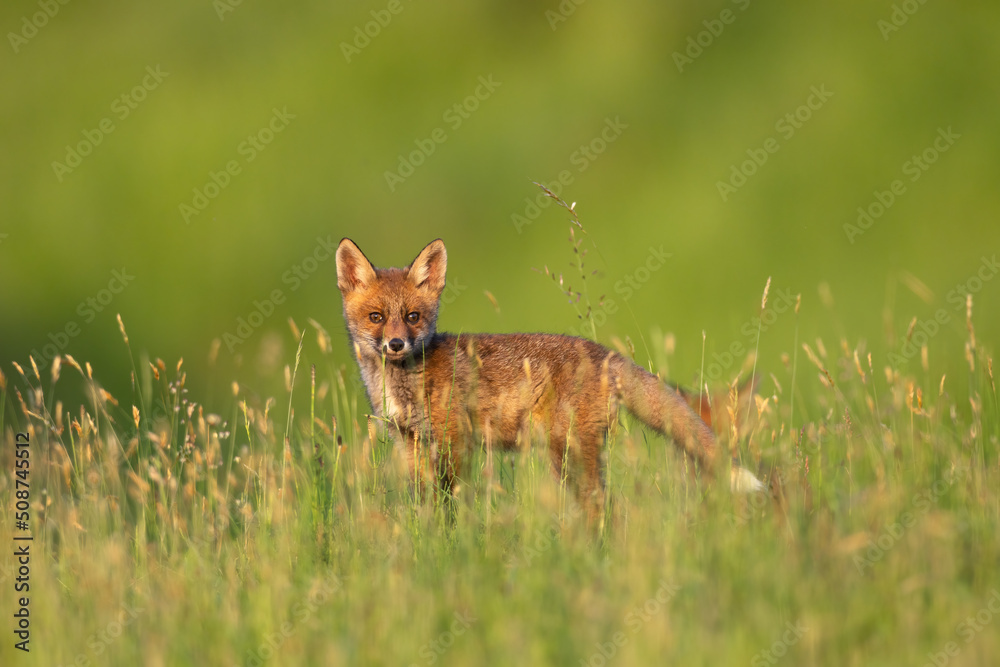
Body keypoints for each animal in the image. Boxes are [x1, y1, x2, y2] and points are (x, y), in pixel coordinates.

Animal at [332, 237, 760, 524]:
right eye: (376, 317)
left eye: (413, 317)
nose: (396, 344)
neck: (403, 385)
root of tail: (606, 353)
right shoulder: (411, 442)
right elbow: (423, 500)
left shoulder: (456, 438)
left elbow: (450, 498)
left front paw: (450, 539)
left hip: (568, 453)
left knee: (602, 507)